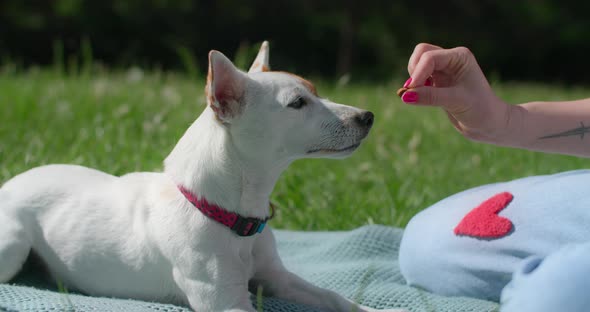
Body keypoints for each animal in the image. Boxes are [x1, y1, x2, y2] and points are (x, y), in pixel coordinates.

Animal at [0, 42, 408, 312]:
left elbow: (334, 297)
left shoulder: (279, 280)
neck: (227, 213)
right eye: (297, 103)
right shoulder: (226, 303)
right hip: (13, 244)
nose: (367, 116)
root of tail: (11, 183)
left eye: (316, 92)